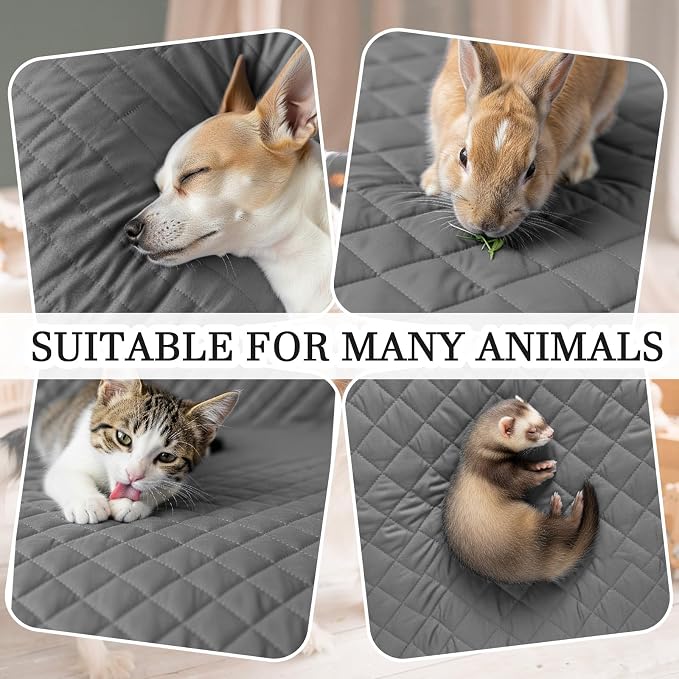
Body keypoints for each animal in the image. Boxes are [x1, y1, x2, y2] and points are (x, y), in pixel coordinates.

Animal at [444, 396, 599, 584]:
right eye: (531, 431)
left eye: (541, 416)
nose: (551, 432)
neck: (476, 456)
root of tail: (538, 569)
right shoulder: (501, 474)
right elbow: (522, 481)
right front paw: (544, 473)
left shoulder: (514, 463)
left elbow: (525, 464)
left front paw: (541, 464)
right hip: (535, 527)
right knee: (568, 526)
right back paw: (572, 505)